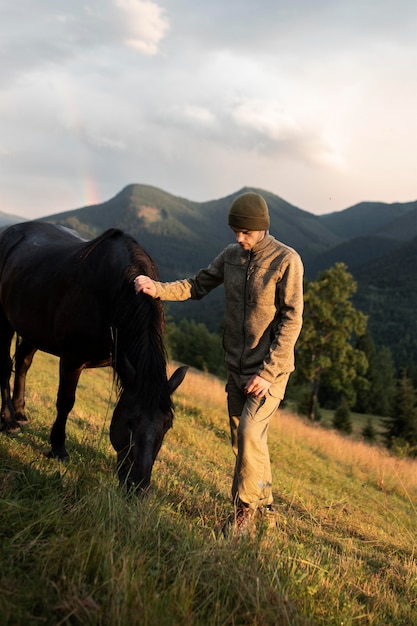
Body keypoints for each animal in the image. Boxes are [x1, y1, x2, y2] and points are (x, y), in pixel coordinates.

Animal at [0, 222, 187, 490]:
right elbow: (65, 402)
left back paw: (20, 413)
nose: (138, 487)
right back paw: (9, 420)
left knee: (23, 363)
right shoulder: (72, 360)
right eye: (130, 422)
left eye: (167, 426)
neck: (113, 294)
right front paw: (58, 448)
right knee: (6, 366)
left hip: (32, 327)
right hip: (4, 318)